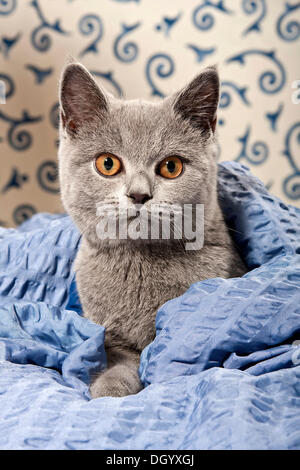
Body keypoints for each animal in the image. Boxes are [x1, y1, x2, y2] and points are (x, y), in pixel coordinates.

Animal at [56, 58, 246, 396]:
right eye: (108, 164)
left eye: (171, 166)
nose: (139, 194)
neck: (140, 263)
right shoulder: (112, 338)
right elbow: (118, 364)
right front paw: (109, 390)